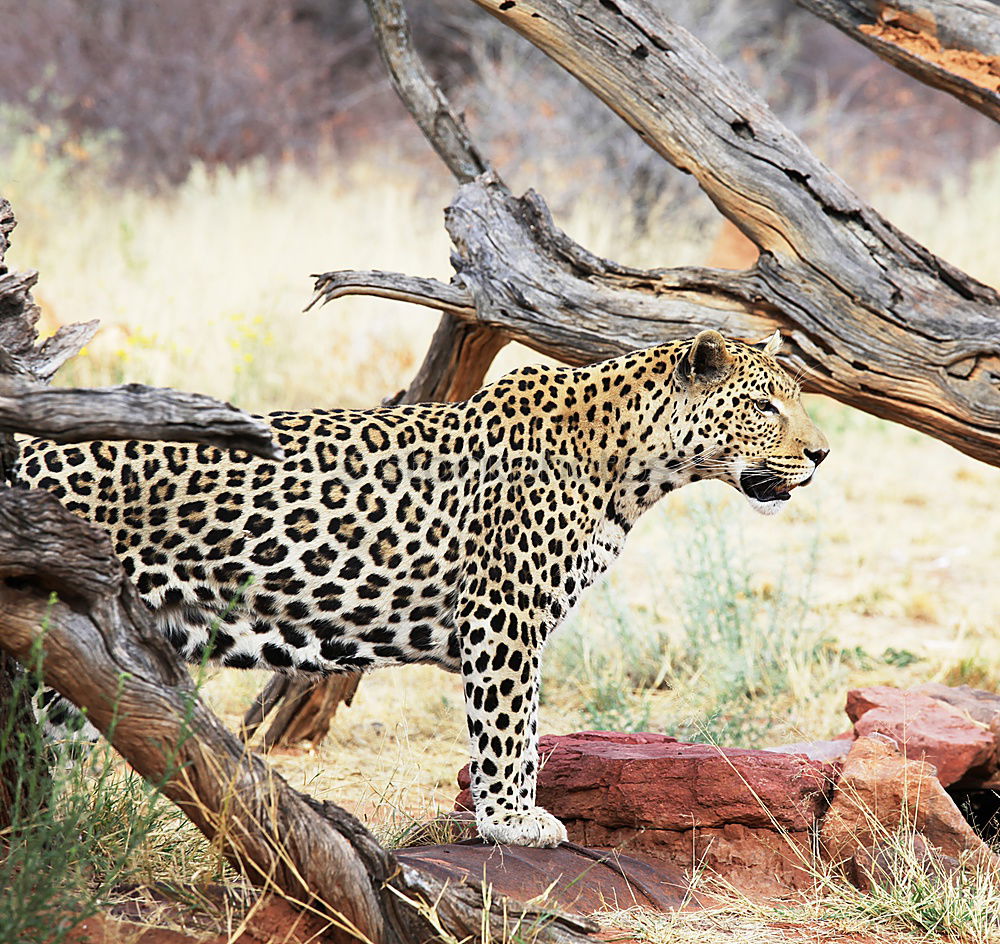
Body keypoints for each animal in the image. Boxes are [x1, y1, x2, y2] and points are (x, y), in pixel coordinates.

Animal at [19, 330, 828, 848]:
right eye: (765, 407)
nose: (821, 455)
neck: (632, 466)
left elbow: (523, 733)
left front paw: (510, 818)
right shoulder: (505, 619)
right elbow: (509, 732)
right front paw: (514, 822)